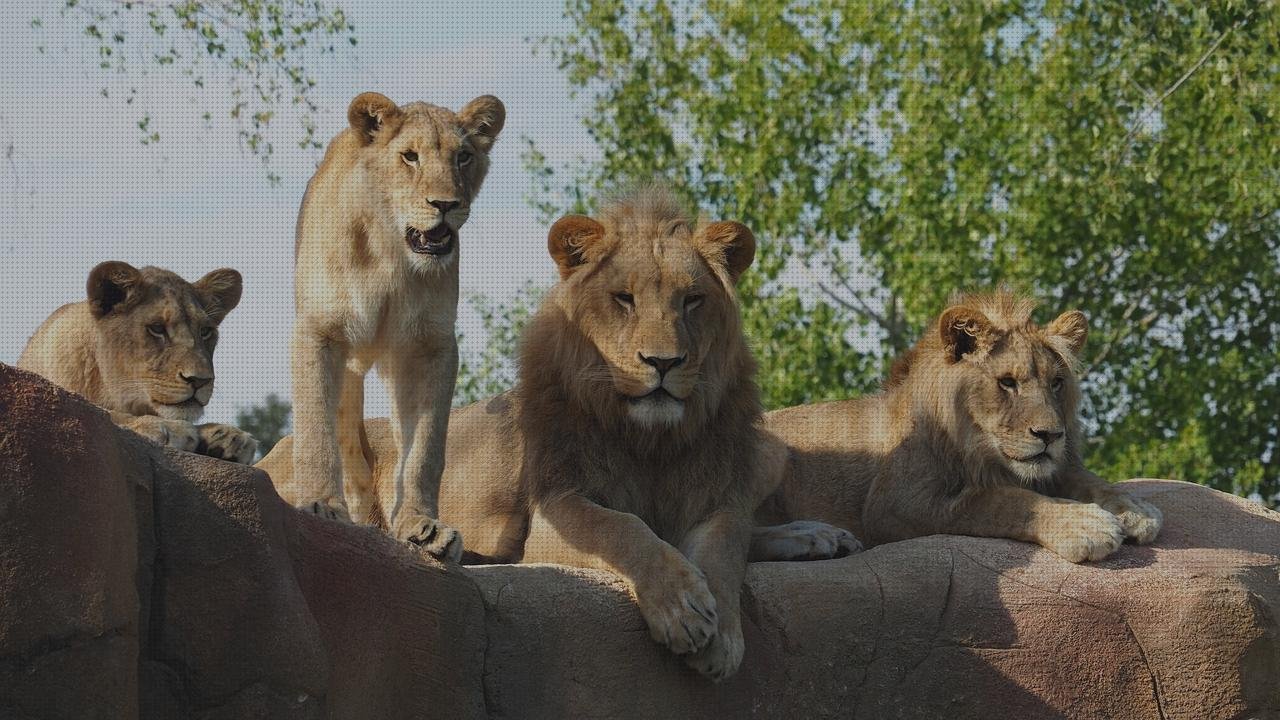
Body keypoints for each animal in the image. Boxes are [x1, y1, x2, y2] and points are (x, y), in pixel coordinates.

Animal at [17, 261, 257, 464]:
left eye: (205, 332)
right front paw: (169, 427)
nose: (200, 380)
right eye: (157, 328)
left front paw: (228, 435)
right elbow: (105, 414)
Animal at [261, 187, 858, 679]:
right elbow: (623, 529)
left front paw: (724, 636)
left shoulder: (715, 497)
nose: (663, 363)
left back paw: (817, 535)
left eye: (692, 300)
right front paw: (682, 610)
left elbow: (724, 549)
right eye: (624, 299)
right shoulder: (551, 515)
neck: (652, 442)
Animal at [282, 91, 504, 560]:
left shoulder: (431, 346)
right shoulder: (319, 330)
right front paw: (320, 504)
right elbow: (315, 429)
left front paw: (422, 525)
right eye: (410, 157)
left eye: (463, 157)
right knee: (349, 440)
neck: (390, 254)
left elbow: (423, 451)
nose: (445, 205)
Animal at [755, 290, 1163, 564]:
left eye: (1056, 383)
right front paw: (1084, 525)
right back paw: (815, 537)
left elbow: (1090, 480)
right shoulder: (894, 504)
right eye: (1007, 383)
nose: (1050, 436)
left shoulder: (1051, 468)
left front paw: (1135, 509)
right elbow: (998, 500)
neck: (983, 451)